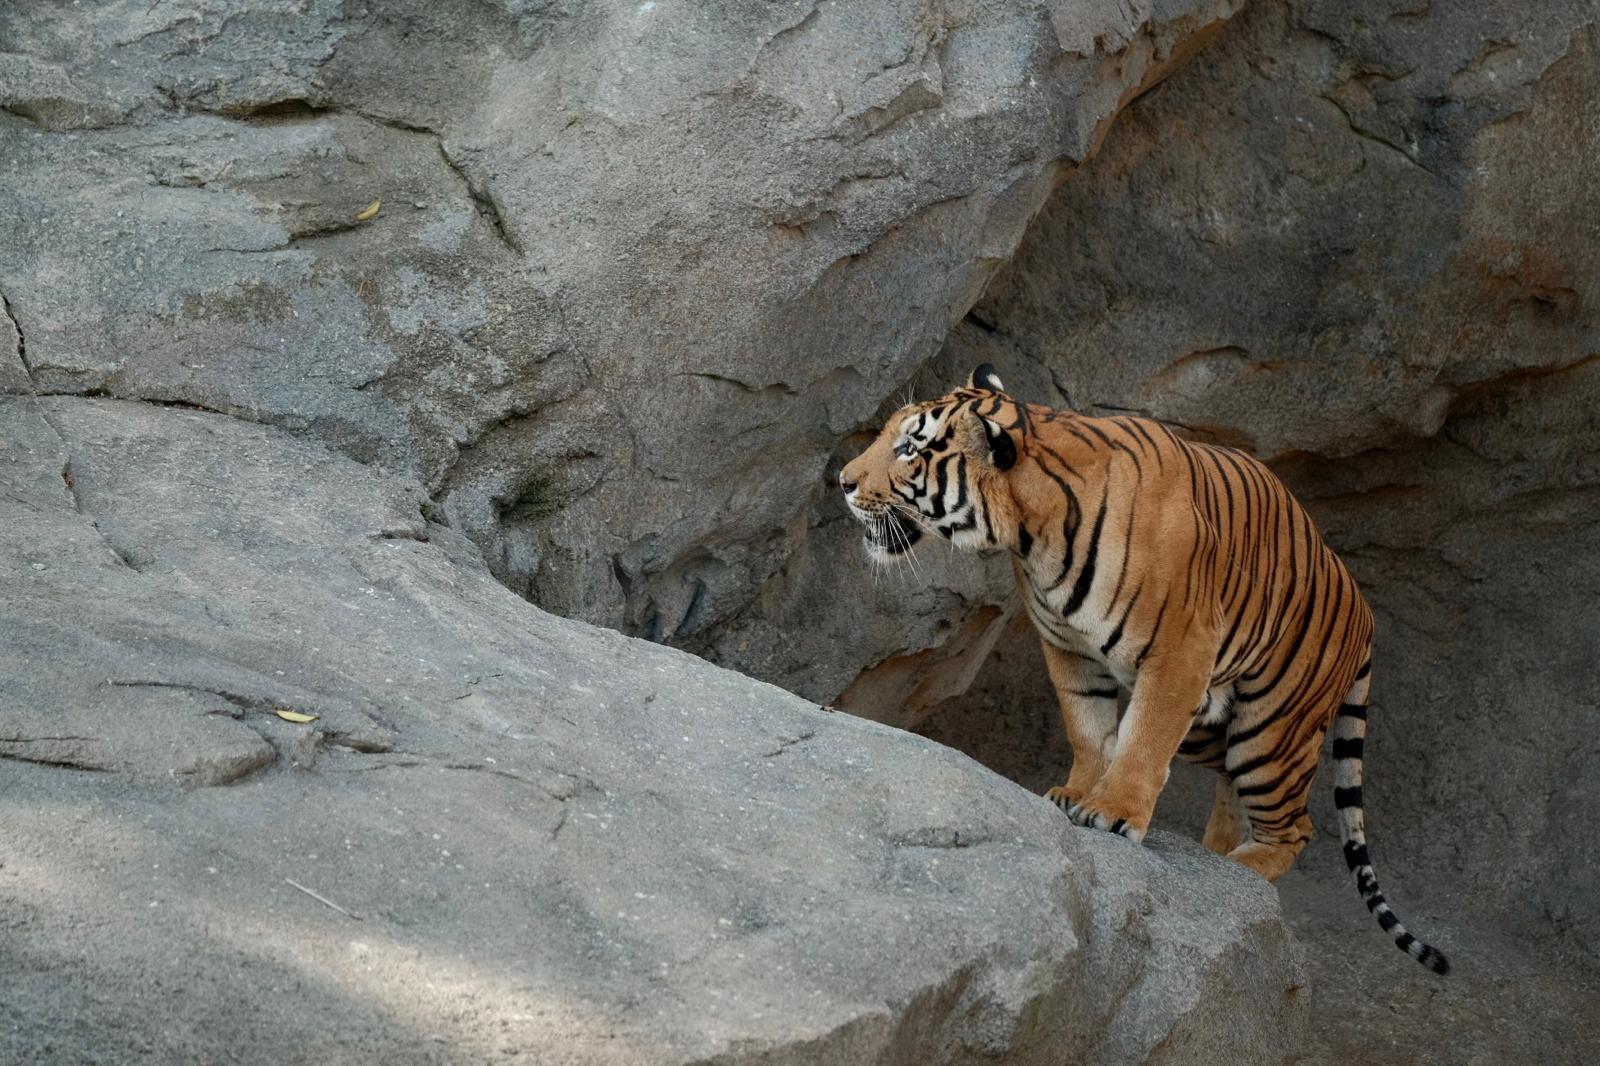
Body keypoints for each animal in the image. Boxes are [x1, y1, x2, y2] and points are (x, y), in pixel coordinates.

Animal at [838, 363, 1449, 973]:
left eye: (910, 447)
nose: (843, 481)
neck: (1033, 532)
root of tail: (1365, 611)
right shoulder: (1069, 649)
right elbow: (1087, 728)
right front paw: (1076, 792)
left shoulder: (1180, 653)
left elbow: (1144, 741)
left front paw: (1112, 811)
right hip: (1211, 724)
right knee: (1231, 785)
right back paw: (1216, 854)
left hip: (1271, 731)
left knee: (1294, 826)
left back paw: (1242, 871)